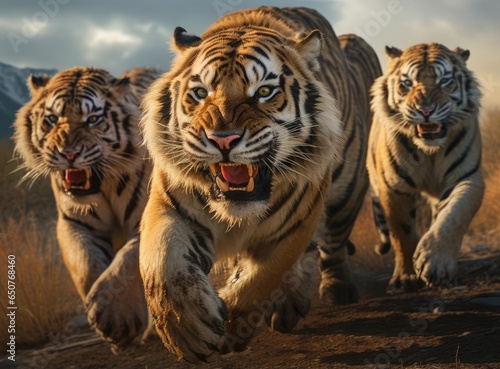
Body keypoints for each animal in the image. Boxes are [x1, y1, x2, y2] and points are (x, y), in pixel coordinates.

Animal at [12, 65, 159, 348]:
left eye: (92, 119)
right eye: (51, 119)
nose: (68, 153)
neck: (105, 185)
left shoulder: (146, 218)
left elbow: (127, 260)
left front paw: (115, 316)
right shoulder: (73, 222)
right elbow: (84, 261)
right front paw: (101, 307)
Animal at [139, 6, 380, 362]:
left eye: (264, 92)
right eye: (200, 93)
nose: (222, 140)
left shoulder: (294, 226)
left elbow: (261, 278)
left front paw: (232, 329)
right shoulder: (170, 206)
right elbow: (163, 264)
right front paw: (185, 329)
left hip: (347, 192)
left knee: (333, 244)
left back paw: (336, 290)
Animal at [368, 42, 484, 290]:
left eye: (445, 81)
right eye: (407, 83)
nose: (426, 111)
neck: (430, 152)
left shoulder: (467, 178)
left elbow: (454, 216)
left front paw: (437, 264)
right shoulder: (394, 187)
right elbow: (402, 233)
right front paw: (407, 277)